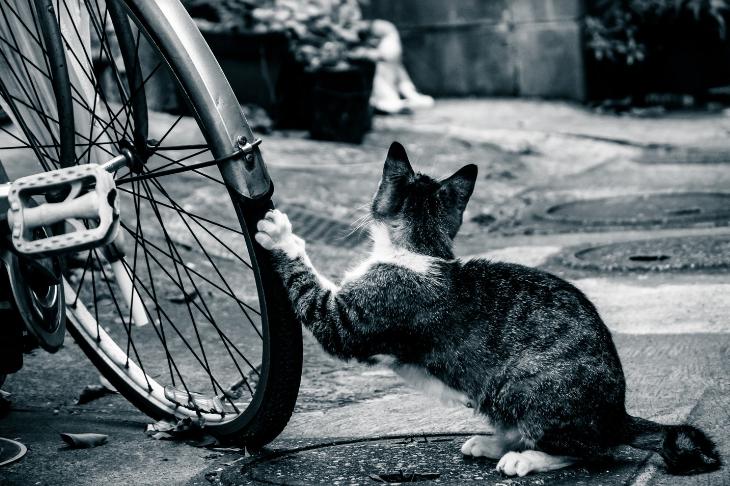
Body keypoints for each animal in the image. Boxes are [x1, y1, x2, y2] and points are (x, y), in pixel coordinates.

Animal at [253, 141, 720, 478]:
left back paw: (526, 458)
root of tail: (616, 415)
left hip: (522, 384)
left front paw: (281, 234)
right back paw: (493, 442)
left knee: (590, 450)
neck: (419, 248)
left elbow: (311, 289)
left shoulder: (350, 321)